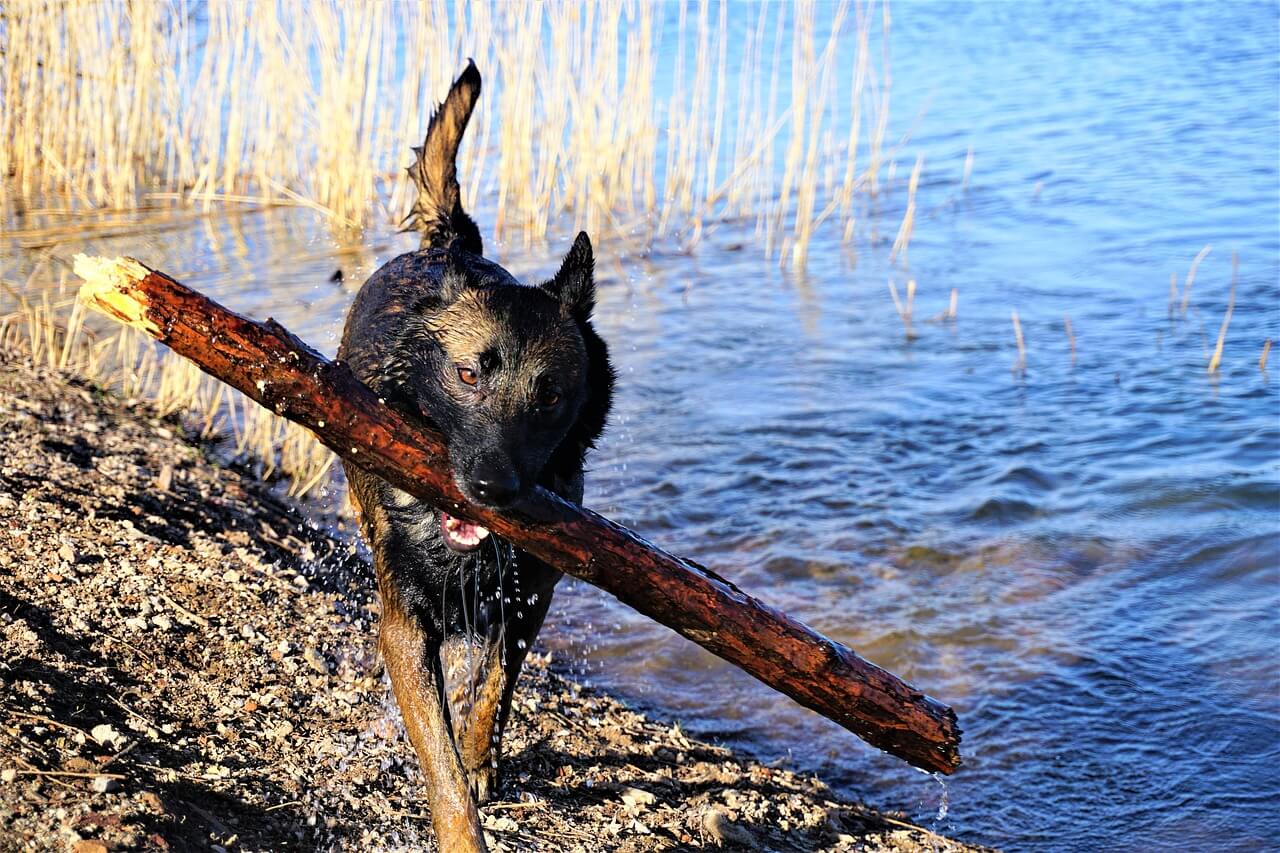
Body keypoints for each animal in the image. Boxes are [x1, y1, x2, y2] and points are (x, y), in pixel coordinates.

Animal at [335, 61, 614, 850]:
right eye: (466, 375)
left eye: (549, 396)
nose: (491, 488)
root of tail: (449, 245)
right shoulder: (404, 625)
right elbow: (439, 760)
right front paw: (462, 826)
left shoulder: (530, 598)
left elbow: (495, 685)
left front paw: (482, 753)